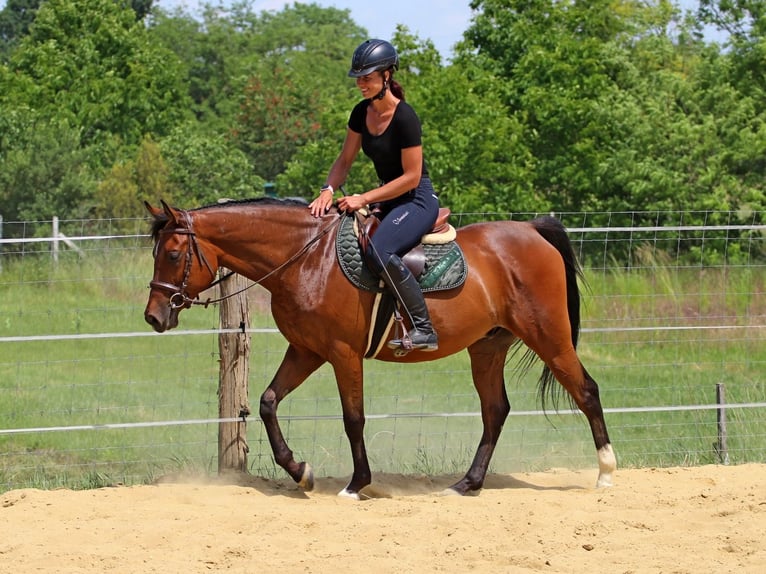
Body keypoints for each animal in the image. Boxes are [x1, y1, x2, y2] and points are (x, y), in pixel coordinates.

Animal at [143, 198, 616, 499]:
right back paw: (468, 484)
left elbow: (353, 418)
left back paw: (607, 473)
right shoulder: (306, 350)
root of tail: (532, 231)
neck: (306, 258)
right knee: (495, 411)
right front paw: (300, 472)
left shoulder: (342, 354)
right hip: (487, 349)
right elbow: (268, 402)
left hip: (550, 338)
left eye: (173, 254)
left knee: (587, 391)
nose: (153, 316)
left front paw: (357, 483)